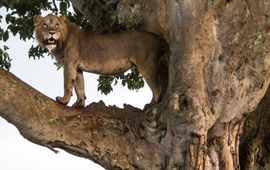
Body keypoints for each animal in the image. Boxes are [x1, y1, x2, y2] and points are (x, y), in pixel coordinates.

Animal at [33, 14, 167, 107]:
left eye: (56, 25)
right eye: (45, 25)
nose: (52, 32)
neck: (60, 43)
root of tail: (158, 37)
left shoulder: (69, 63)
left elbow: (67, 84)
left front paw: (63, 101)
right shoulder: (77, 67)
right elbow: (79, 86)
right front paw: (79, 104)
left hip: (147, 64)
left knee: (158, 87)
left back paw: (152, 104)